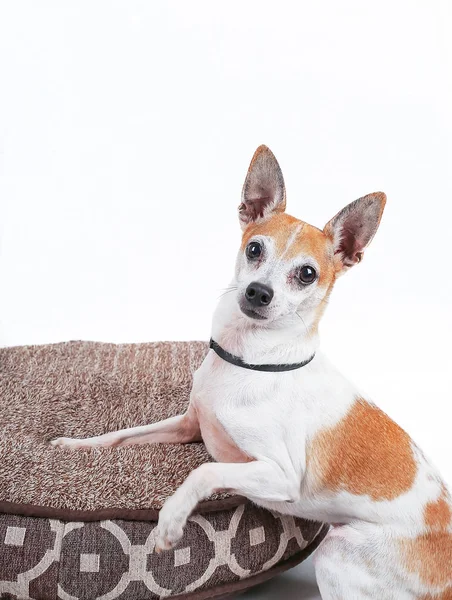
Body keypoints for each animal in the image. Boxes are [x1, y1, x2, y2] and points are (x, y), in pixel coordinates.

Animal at [51, 146, 450, 600]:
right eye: (255, 249)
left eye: (307, 274)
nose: (259, 291)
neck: (248, 359)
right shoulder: (188, 425)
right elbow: (121, 435)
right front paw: (74, 445)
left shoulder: (280, 475)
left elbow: (204, 470)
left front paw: (170, 520)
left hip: (338, 551)